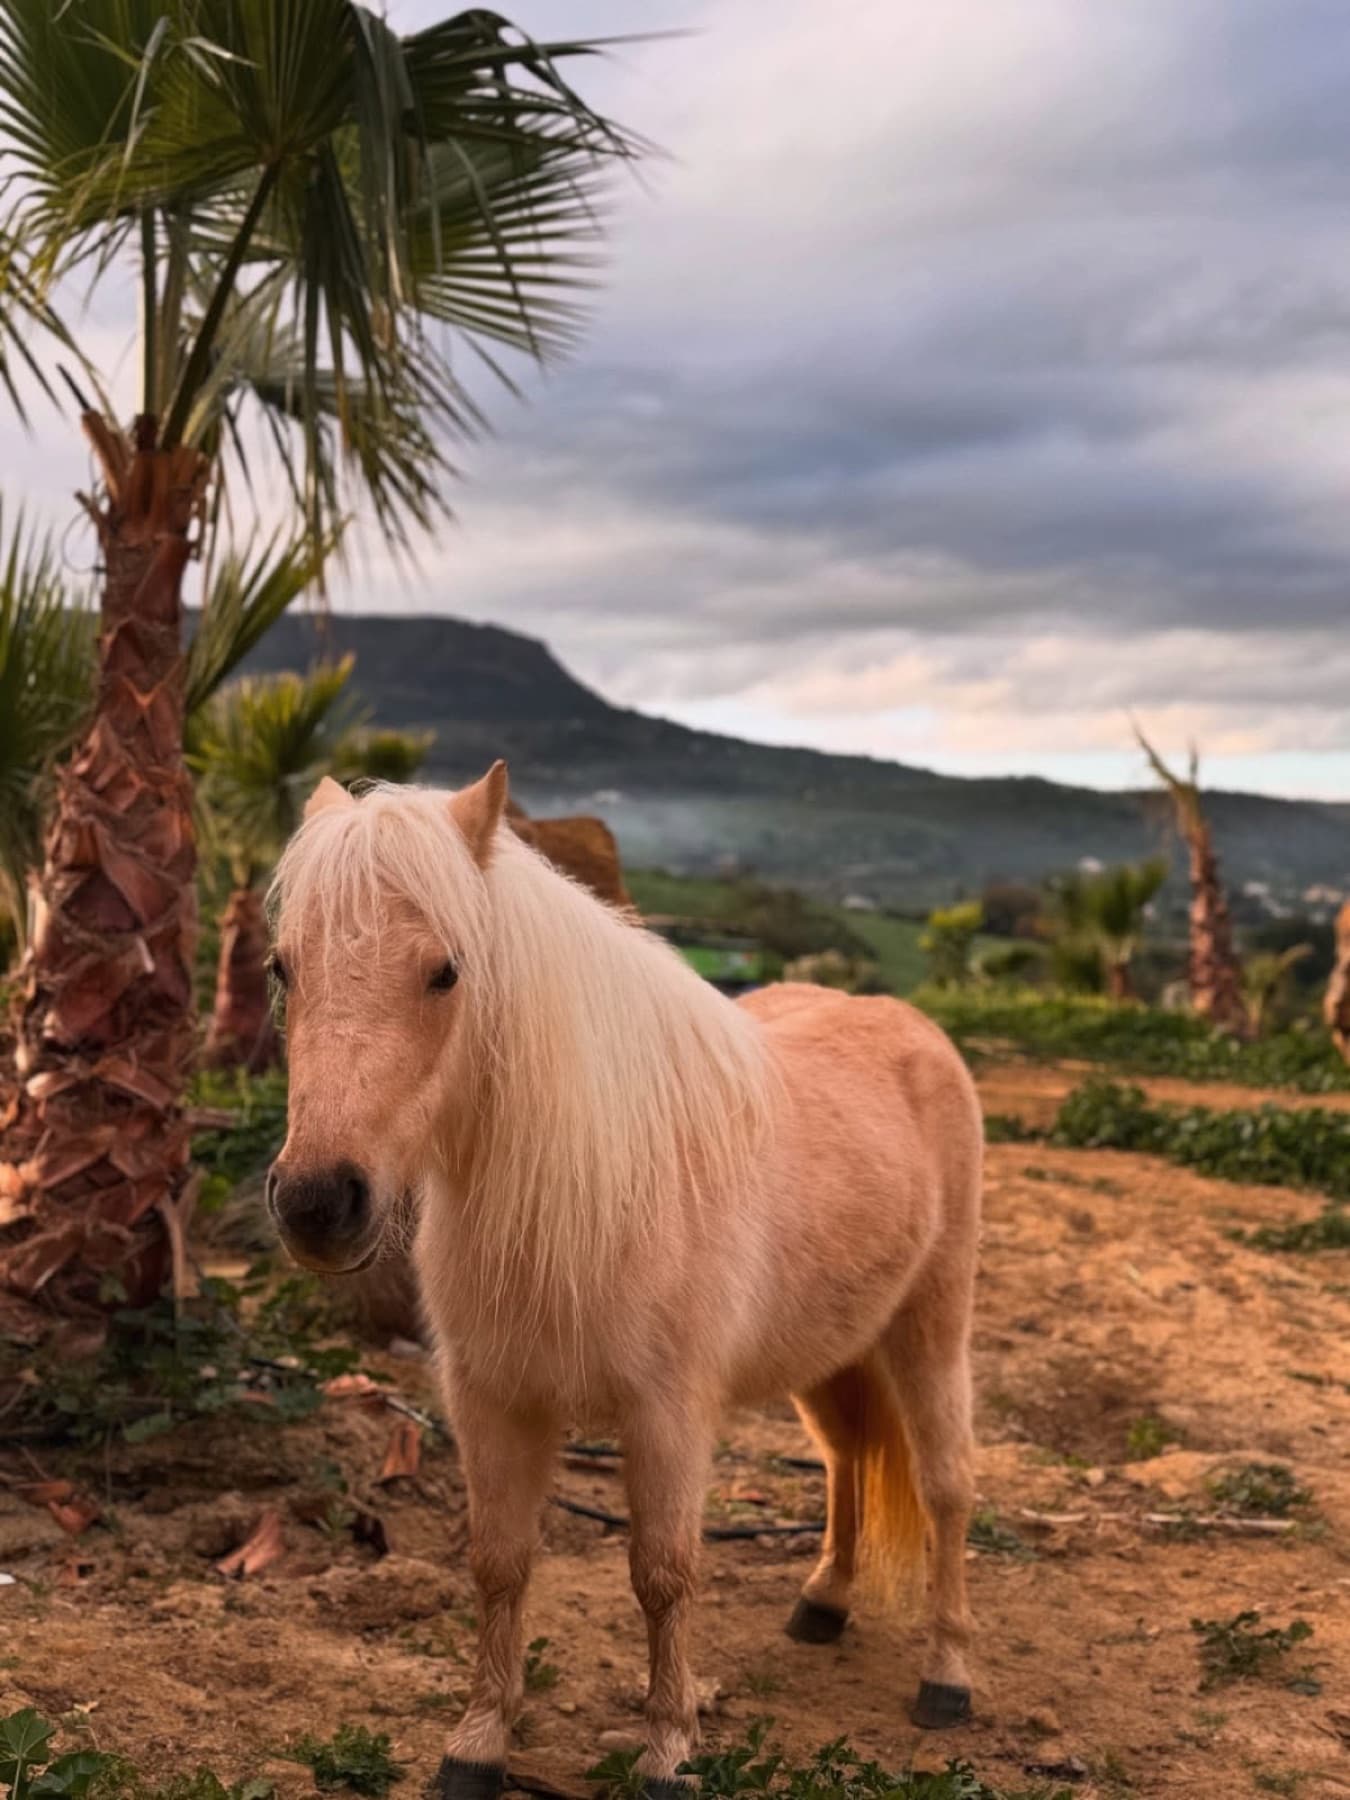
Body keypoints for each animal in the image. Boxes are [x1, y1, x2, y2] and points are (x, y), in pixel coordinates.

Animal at [266, 765, 982, 1799]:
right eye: (284, 969)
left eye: (446, 971)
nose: (318, 1203)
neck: (590, 1183)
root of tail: (911, 1027)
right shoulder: (492, 1405)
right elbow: (499, 1562)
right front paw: (478, 1744)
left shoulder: (668, 1416)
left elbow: (663, 1574)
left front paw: (669, 1751)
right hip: (831, 1353)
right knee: (849, 1460)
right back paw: (824, 1605)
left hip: (932, 1326)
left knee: (946, 1485)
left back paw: (948, 1678)